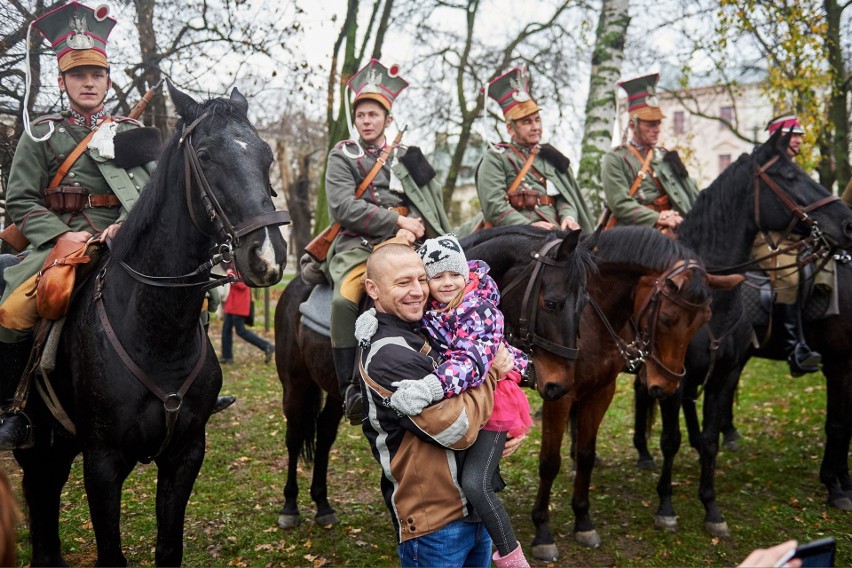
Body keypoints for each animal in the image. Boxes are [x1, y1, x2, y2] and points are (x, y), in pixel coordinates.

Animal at [1, 82, 290, 564]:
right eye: (205, 156)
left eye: (266, 156)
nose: (267, 257)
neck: (156, 331)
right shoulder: (102, 463)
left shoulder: (185, 454)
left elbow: (169, 548)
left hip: (56, 446)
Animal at [276, 229, 596, 532]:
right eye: (552, 304)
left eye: (584, 305)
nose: (559, 385)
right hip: (295, 384)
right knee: (294, 435)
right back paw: (290, 506)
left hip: (332, 393)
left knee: (325, 433)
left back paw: (322, 503)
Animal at [628, 127, 852, 536]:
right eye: (790, 175)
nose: (847, 224)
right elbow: (670, 439)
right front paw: (666, 506)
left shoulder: (723, 374)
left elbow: (712, 440)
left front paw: (711, 508)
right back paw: (638, 452)